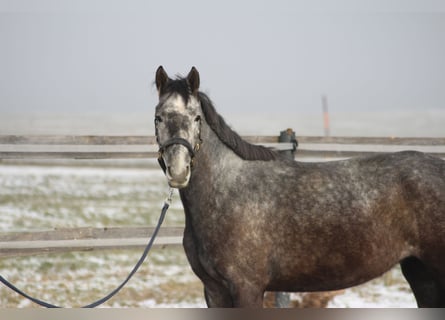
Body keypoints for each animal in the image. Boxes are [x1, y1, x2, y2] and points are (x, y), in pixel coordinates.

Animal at [153, 65, 444, 308]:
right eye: (158, 117)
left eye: (196, 118)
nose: (178, 171)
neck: (225, 193)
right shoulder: (214, 291)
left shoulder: (247, 288)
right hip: (420, 273)